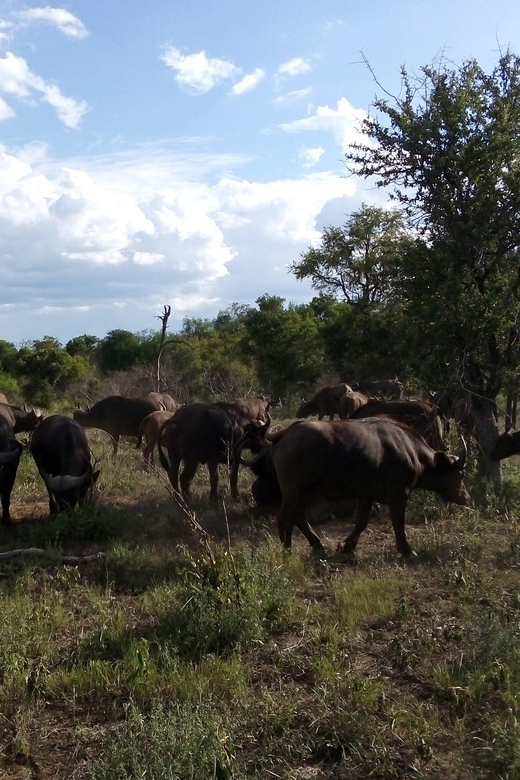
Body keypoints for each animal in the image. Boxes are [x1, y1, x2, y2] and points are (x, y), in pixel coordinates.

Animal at [262, 418, 470, 556]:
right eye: (460, 474)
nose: (466, 497)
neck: (410, 451)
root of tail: (284, 433)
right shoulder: (398, 494)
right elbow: (398, 522)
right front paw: (406, 550)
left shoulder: (365, 495)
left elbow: (361, 522)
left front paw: (347, 546)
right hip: (293, 491)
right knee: (285, 518)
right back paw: (287, 551)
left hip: (302, 492)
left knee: (298, 517)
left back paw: (317, 545)